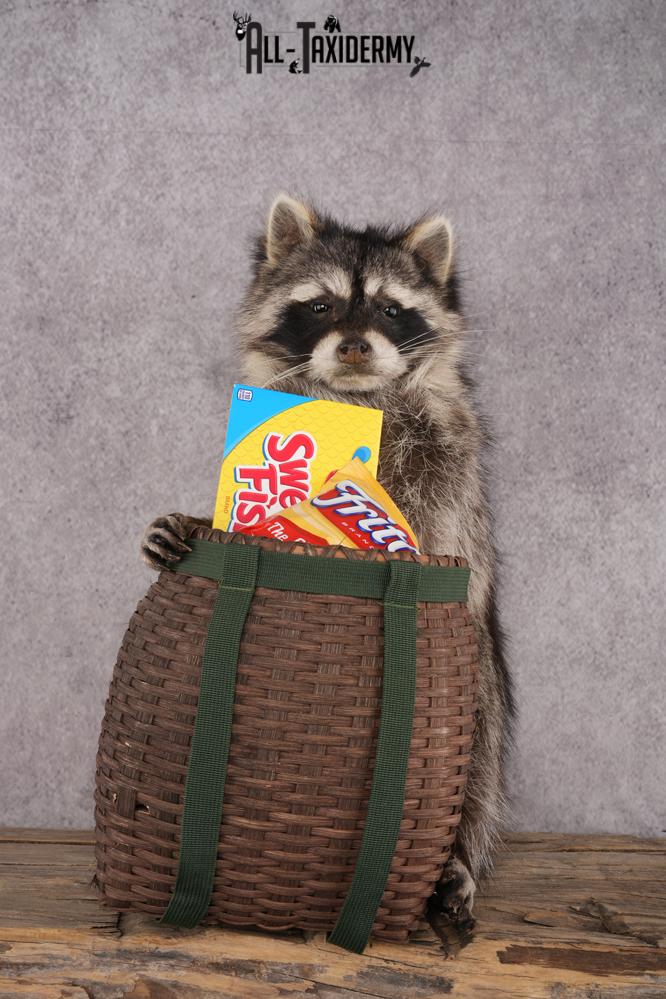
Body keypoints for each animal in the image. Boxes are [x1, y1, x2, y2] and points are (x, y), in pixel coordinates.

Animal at [142, 194, 515, 929]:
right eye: (321, 306)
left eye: (391, 311)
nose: (353, 344)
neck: (355, 399)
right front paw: (203, 519)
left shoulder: (444, 463)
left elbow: (437, 537)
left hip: (480, 683)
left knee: (478, 755)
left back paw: (459, 855)